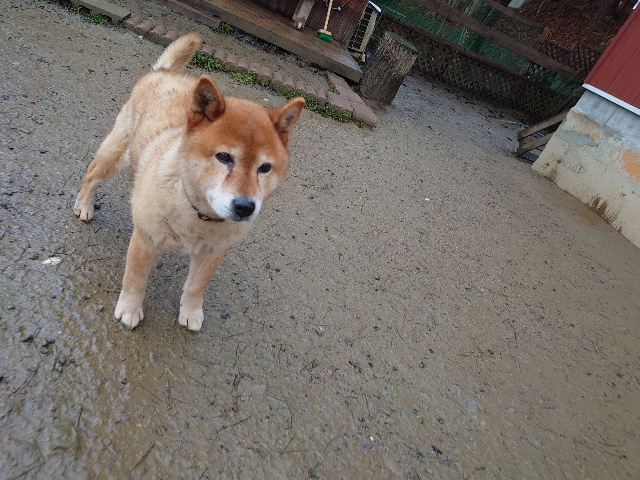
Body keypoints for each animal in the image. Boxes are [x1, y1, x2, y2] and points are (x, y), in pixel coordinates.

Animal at [74, 33, 304, 331]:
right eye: (224, 157)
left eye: (264, 168)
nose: (244, 207)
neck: (198, 217)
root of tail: (164, 72)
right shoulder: (145, 241)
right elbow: (135, 281)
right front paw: (129, 310)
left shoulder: (212, 254)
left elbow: (195, 287)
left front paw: (191, 313)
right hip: (116, 156)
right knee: (91, 174)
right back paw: (85, 205)